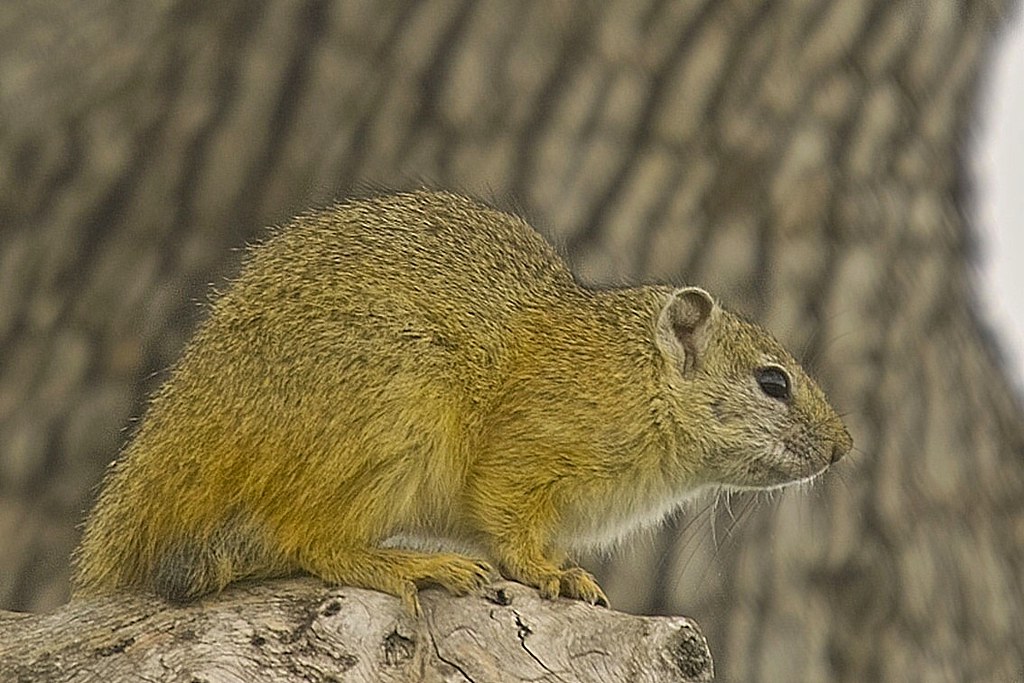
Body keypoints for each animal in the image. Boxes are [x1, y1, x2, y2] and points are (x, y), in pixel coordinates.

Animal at [72, 189, 852, 615]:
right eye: (773, 382)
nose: (844, 447)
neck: (627, 379)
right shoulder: (525, 454)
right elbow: (507, 527)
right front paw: (544, 571)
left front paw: (570, 569)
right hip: (393, 412)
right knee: (314, 543)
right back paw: (417, 566)